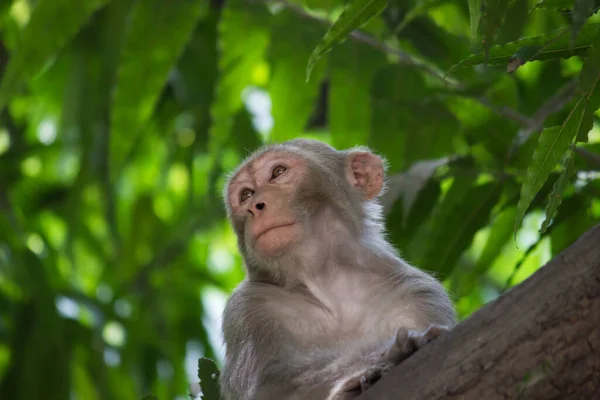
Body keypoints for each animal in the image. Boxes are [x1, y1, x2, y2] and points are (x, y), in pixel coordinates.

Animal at [218, 139, 458, 398]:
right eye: (246, 194)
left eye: (278, 172)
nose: (255, 206)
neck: (327, 278)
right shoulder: (246, 309)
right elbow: (271, 386)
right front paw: (386, 355)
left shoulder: (416, 289)